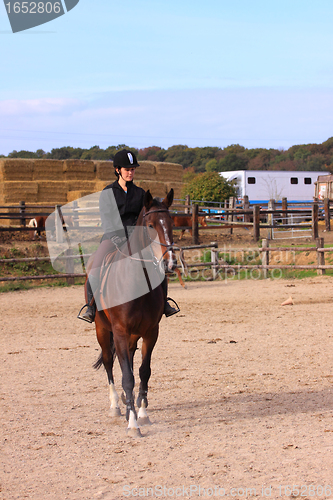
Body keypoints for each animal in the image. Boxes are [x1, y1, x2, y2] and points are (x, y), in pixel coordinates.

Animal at [88, 189, 176, 436]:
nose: (170, 263)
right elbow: (127, 376)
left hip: (132, 336)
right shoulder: (118, 331)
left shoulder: (151, 332)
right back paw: (116, 406)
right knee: (109, 362)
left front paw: (142, 413)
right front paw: (133, 424)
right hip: (102, 330)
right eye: (150, 225)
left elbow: (143, 372)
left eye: (172, 223)